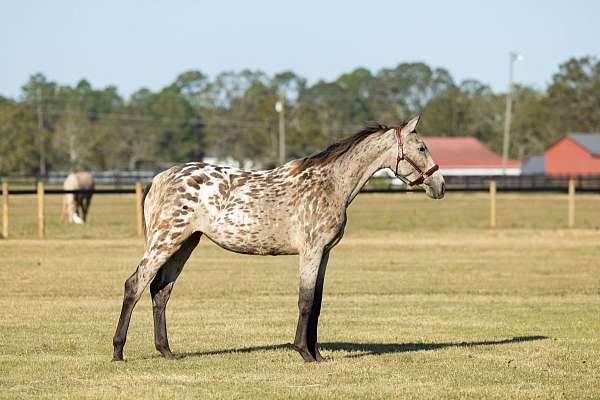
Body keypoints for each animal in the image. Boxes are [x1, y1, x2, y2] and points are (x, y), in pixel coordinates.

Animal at [112, 115, 442, 362]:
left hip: (186, 243)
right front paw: (304, 353)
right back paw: (118, 351)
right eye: (422, 147)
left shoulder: (324, 253)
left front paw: (318, 354)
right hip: (165, 240)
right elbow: (306, 301)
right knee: (135, 285)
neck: (330, 184)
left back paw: (167, 352)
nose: (439, 185)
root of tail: (159, 178)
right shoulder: (310, 251)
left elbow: (317, 303)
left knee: (161, 291)